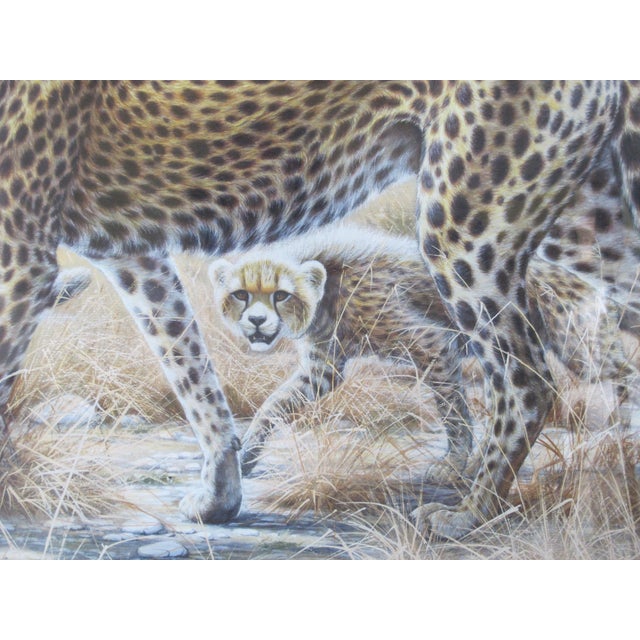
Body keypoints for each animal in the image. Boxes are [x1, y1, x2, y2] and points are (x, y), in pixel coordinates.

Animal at [210, 154, 640, 484]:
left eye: (281, 295)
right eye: (241, 295)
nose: (257, 322)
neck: (327, 286)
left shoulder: (432, 345)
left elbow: (454, 413)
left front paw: (453, 464)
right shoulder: (322, 368)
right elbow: (276, 403)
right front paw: (248, 452)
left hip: (580, 346)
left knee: (623, 374)